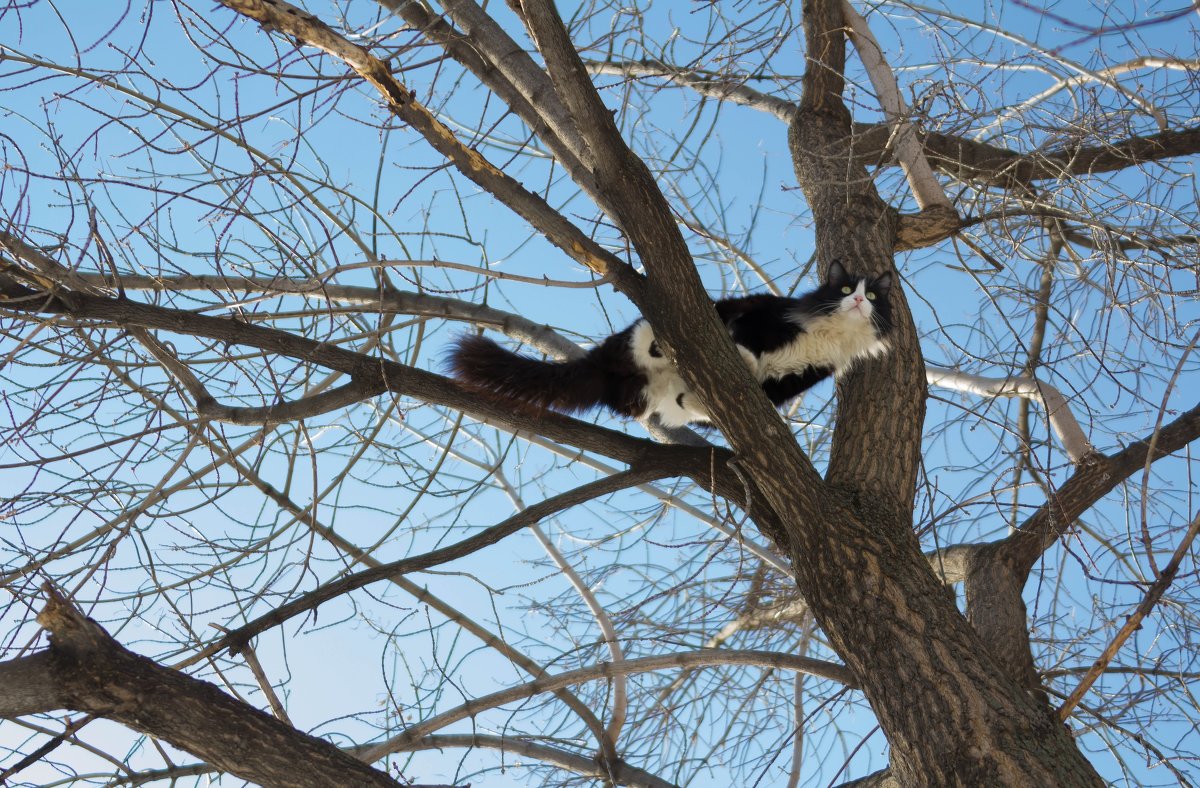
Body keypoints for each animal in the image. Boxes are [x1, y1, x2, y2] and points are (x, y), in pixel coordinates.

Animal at [448, 261, 892, 426]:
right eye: (846, 288)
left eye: (872, 296)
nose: (857, 300)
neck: (832, 333)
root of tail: (600, 367)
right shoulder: (760, 318)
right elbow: (747, 342)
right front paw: (744, 356)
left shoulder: (797, 377)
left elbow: (758, 392)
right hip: (675, 319)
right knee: (643, 335)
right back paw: (662, 344)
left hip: (646, 395)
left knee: (650, 402)